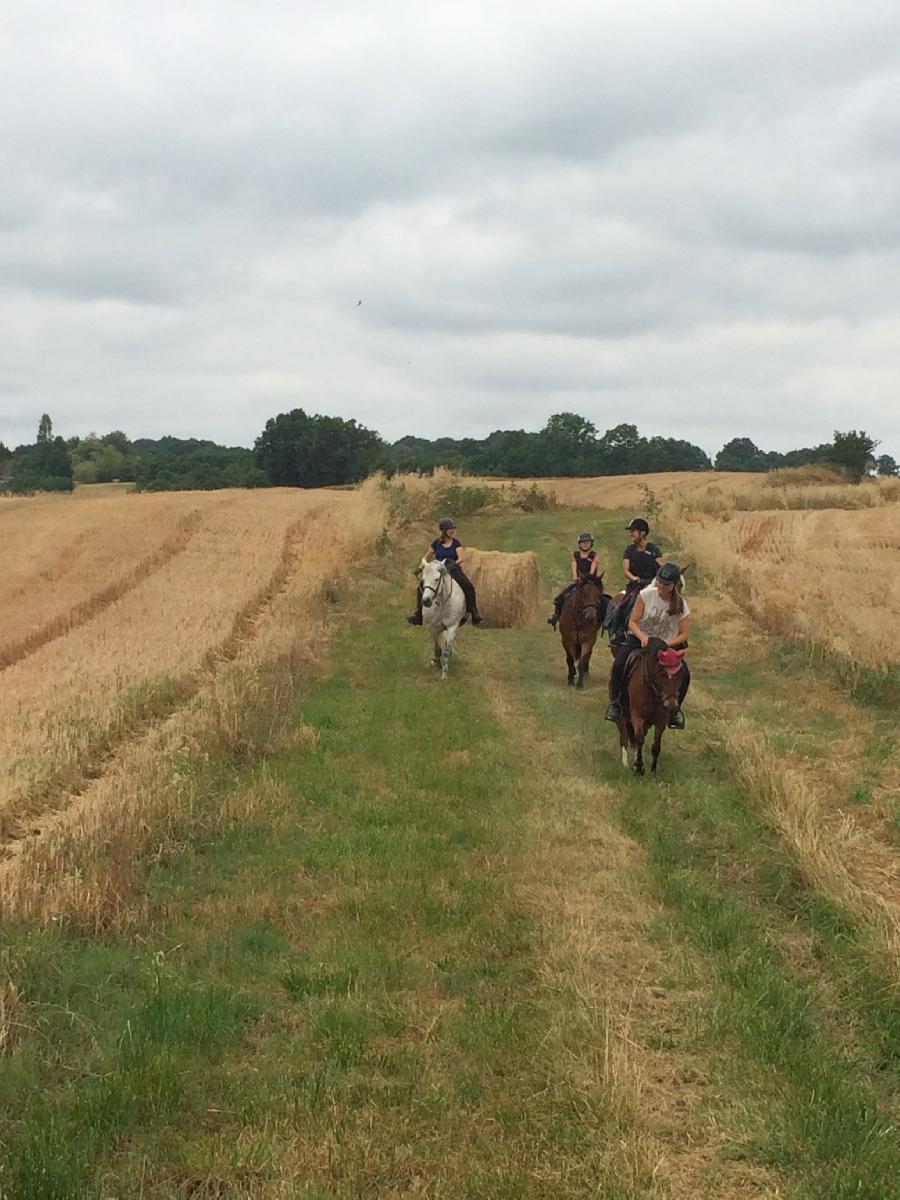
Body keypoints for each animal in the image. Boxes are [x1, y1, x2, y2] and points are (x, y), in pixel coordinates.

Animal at [619, 638, 686, 777]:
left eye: (680, 676)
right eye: (660, 674)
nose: (671, 706)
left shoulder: (661, 720)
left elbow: (656, 746)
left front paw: (653, 771)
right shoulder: (637, 715)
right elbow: (639, 740)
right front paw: (639, 768)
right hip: (622, 717)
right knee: (624, 738)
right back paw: (625, 764)